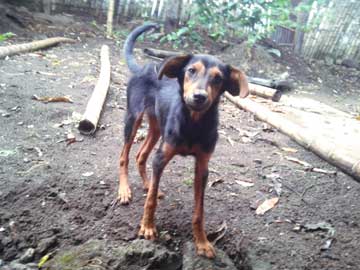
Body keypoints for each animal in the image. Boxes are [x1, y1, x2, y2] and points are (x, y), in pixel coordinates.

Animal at [116, 23, 249, 258]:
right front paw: (147, 227)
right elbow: (150, 201)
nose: (199, 97)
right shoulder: (162, 156)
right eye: (190, 71)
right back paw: (125, 190)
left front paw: (202, 242)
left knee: (141, 156)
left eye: (218, 78)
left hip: (157, 129)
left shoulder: (202, 166)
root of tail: (144, 67)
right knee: (125, 156)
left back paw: (149, 184)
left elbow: (199, 211)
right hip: (133, 118)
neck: (193, 123)